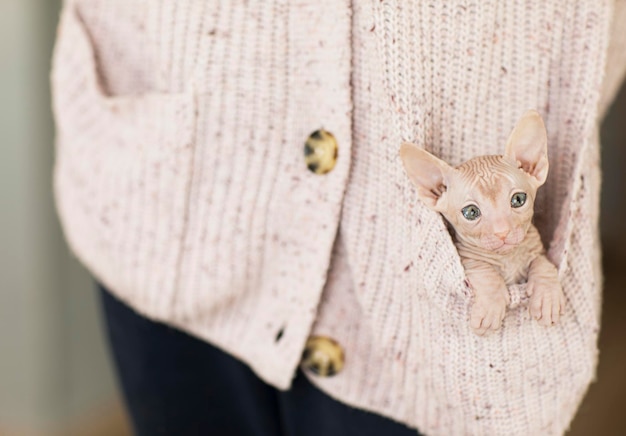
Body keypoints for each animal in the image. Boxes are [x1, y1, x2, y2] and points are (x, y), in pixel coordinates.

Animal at [400, 110, 564, 336]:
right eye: (471, 212)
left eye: (518, 200)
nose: (502, 232)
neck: (507, 258)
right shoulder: (465, 261)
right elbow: (485, 271)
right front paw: (491, 308)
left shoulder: (537, 250)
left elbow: (543, 263)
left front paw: (547, 297)